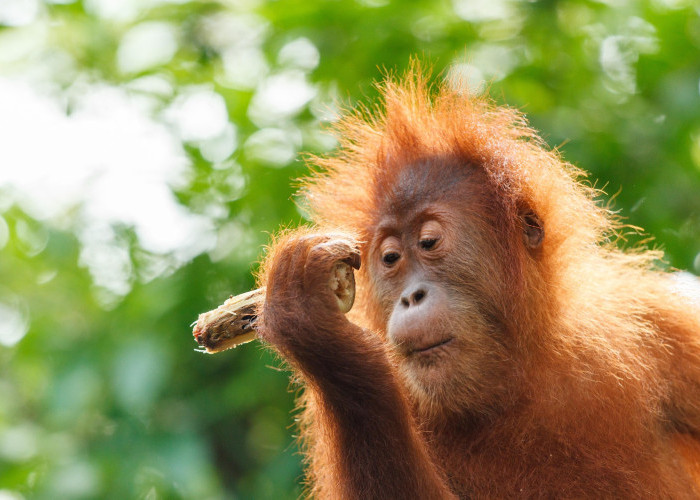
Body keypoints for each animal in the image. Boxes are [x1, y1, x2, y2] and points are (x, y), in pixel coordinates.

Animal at [252, 68, 700, 498]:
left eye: (429, 242)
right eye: (391, 259)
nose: (411, 297)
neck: (519, 374)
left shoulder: (659, 321)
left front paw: (312, 322)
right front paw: (321, 334)